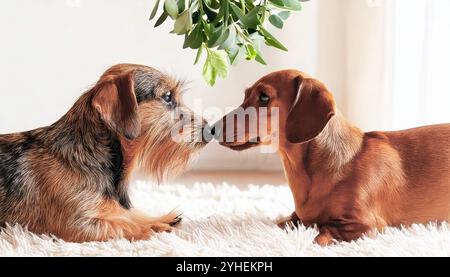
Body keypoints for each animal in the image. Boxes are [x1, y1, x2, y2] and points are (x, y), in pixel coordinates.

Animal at [0, 63, 211, 242]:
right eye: (167, 96)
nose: (211, 130)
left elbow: (128, 215)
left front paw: (159, 219)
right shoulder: (78, 224)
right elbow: (123, 225)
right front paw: (153, 228)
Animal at [214, 70, 450, 245]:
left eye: (264, 96)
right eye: (246, 95)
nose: (212, 129)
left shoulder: (366, 224)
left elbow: (323, 232)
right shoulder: (297, 216)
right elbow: (285, 222)